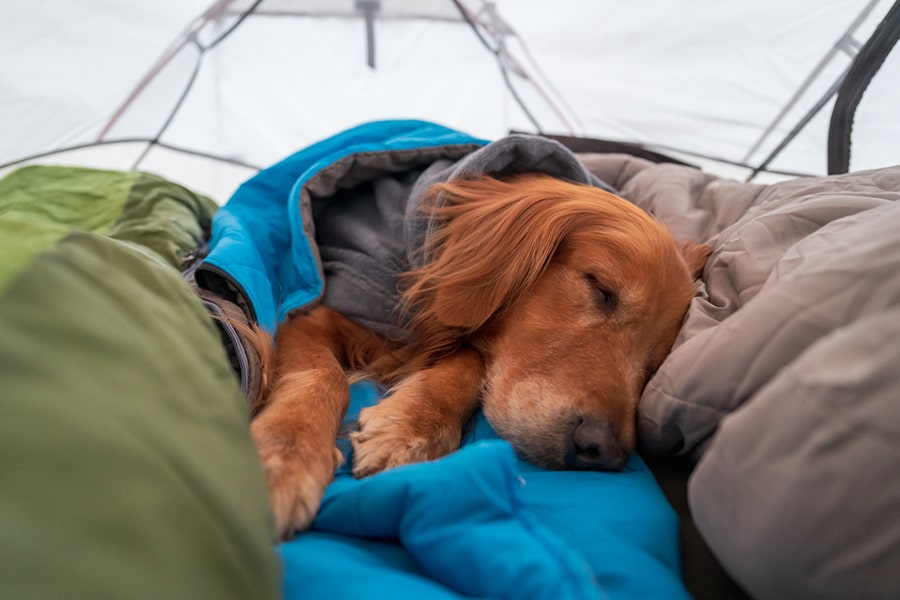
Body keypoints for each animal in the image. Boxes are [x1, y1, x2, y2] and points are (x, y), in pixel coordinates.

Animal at [246, 170, 712, 540]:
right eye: (600, 288)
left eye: (654, 364)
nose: (603, 450)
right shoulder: (312, 314)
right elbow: (322, 374)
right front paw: (285, 454)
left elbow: (469, 366)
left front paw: (411, 426)